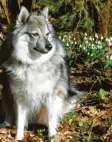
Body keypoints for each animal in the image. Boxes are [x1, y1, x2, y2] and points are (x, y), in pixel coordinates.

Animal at [0, 5, 84, 141]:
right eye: (35, 34)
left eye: (47, 34)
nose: (50, 47)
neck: (33, 63)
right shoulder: (20, 98)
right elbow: (20, 121)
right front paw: (18, 137)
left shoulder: (50, 96)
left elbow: (51, 119)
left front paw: (52, 136)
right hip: (5, 93)